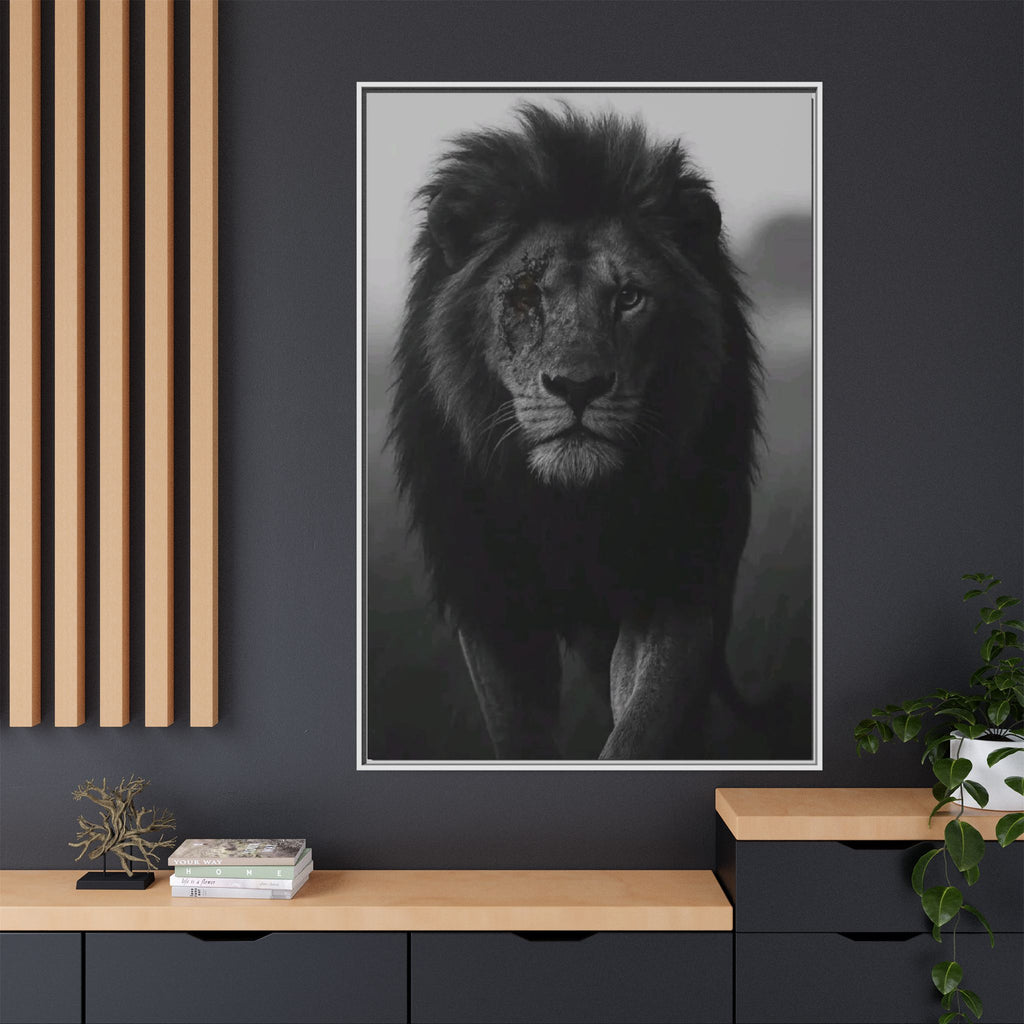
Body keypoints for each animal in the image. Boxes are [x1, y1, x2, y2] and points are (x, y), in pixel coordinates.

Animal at [388, 103, 761, 759]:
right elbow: (518, 735)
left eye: (630, 297)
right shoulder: (491, 601)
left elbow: (642, 724)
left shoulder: (674, 586)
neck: (571, 510)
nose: (578, 386)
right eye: (525, 296)